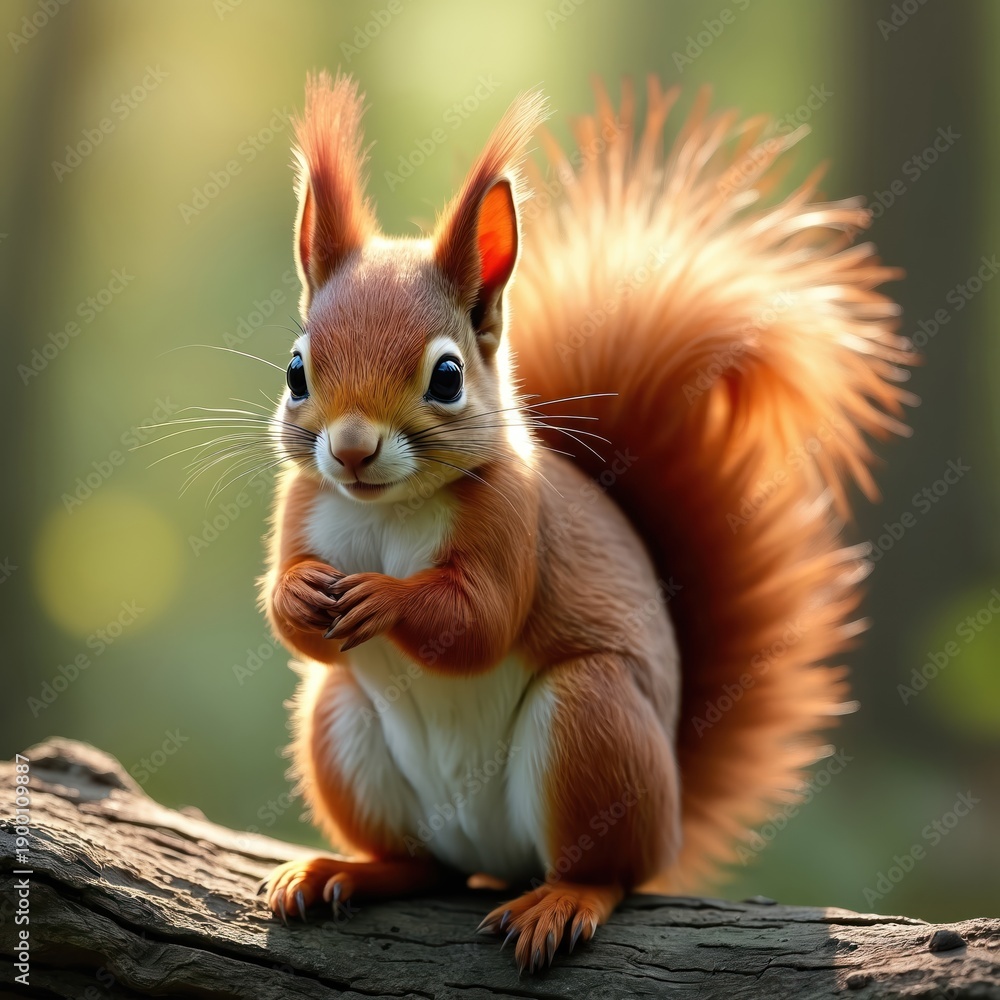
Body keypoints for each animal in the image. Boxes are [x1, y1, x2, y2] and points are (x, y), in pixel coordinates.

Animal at [256, 71, 913, 973]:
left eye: (447, 378)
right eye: (297, 370)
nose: (352, 450)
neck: (388, 508)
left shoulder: (513, 523)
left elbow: (478, 623)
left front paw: (384, 600)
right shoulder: (304, 506)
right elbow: (292, 622)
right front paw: (301, 596)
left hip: (592, 724)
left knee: (609, 871)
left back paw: (563, 901)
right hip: (340, 725)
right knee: (423, 865)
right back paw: (344, 871)